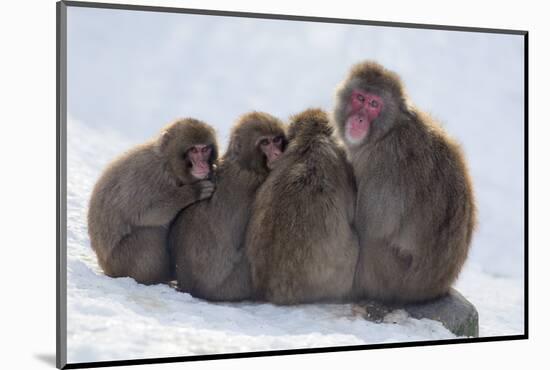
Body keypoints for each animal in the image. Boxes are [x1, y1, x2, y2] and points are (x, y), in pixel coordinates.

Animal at [88, 118, 218, 284]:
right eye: (194, 150)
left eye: (205, 149)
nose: (203, 164)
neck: (168, 165)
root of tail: (105, 267)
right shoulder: (149, 175)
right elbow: (144, 214)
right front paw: (193, 192)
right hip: (121, 261)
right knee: (149, 232)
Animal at [170, 112, 286, 300]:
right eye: (265, 143)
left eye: (276, 140)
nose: (277, 153)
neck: (243, 163)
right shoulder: (256, 181)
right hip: (234, 285)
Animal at [332, 60, 478, 304]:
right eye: (359, 98)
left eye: (374, 104)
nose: (359, 118)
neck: (386, 131)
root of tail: (436, 288)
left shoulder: (384, 162)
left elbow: (373, 226)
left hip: (391, 278)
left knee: (371, 242)